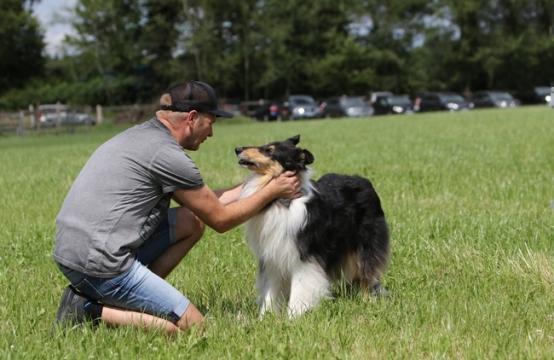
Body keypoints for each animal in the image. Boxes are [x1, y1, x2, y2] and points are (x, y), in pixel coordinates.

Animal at [234, 135, 388, 318]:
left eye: (269, 150)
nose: (237, 149)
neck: (283, 201)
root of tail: (365, 181)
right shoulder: (273, 256)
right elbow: (271, 291)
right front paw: (265, 317)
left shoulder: (303, 257)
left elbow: (299, 289)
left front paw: (294, 316)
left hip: (365, 244)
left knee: (366, 273)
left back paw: (367, 301)